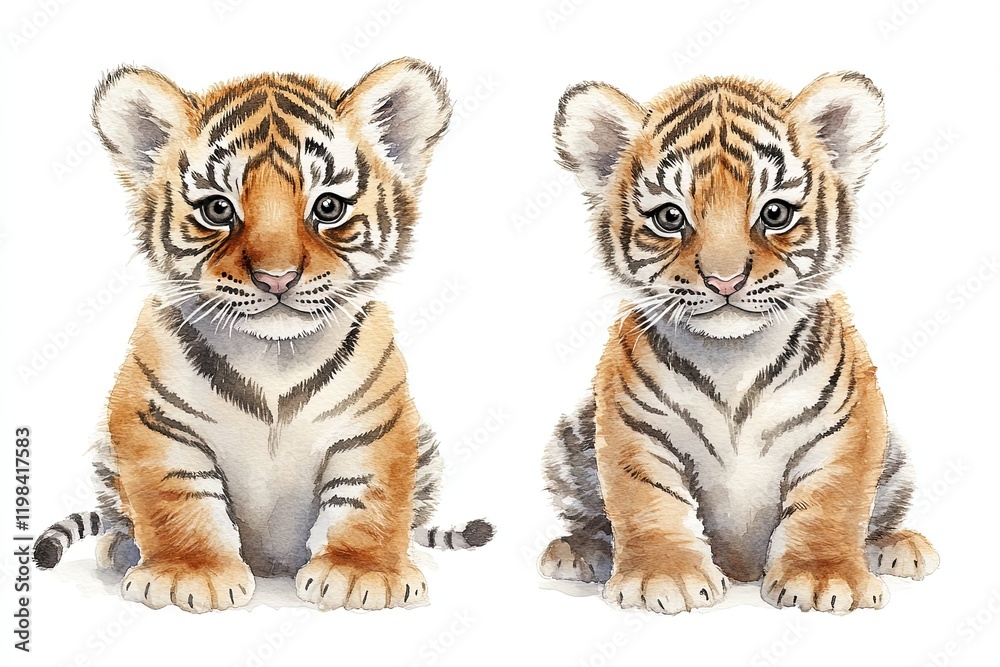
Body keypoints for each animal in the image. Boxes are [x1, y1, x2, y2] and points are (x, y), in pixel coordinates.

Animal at [33, 58, 493, 613]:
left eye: (329, 207)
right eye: (217, 210)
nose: (277, 278)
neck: (275, 356)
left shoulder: (377, 425)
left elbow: (369, 498)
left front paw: (362, 574)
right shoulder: (154, 421)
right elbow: (177, 499)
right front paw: (189, 574)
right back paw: (121, 549)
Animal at [539, 72, 938, 614]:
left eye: (775, 213)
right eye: (670, 218)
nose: (724, 281)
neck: (733, 356)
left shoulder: (847, 428)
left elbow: (832, 502)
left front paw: (825, 579)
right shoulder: (634, 427)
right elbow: (648, 502)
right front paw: (663, 578)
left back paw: (901, 547)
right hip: (570, 441)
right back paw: (579, 552)